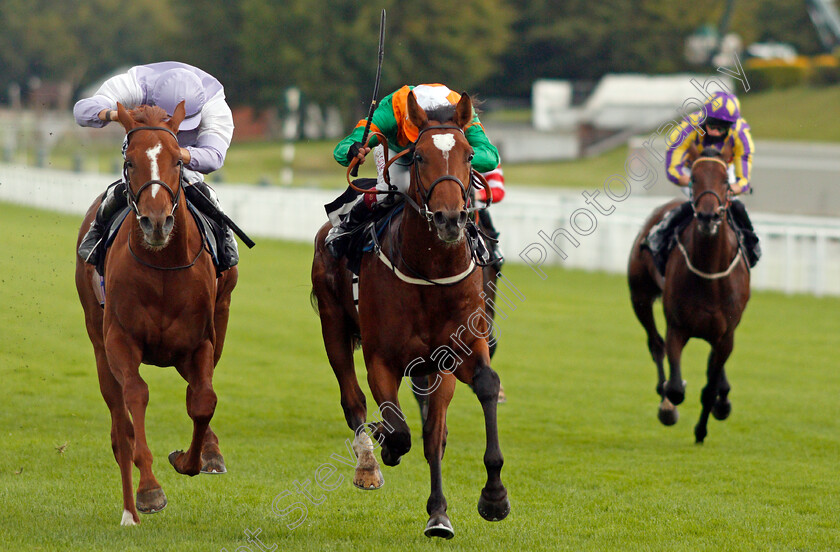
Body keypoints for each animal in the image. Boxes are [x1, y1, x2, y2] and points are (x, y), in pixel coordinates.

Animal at [75, 101, 236, 524]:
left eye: (177, 161)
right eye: (129, 162)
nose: (157, 221)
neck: (162, 267)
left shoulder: (199, 342)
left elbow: (203, 400)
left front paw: (191, 459)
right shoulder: (119, 340)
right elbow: (136, 397)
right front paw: (149, 490)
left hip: (220, 318)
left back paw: (210, 450)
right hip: (98, 342)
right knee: (120, 427)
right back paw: (129, 511)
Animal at [308, 91, 506, 540]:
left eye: (470, 154)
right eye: (418, 156)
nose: (450, 219)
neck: (429, 271)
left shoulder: (455, 353)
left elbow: (457, 414)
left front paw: (484, 500)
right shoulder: (381, 357)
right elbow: (398, 429)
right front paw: (386, 448)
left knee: (431, 429)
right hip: (333, 325)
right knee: (353, 399)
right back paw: (368, 463)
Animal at [628, 147, 752, 444]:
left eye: (726, 181)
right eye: (694, 178)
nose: (708, 217)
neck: (709, 273)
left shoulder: (726, 334)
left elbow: (710, 386)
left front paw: (702, 429)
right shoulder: (678, 326)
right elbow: (674, 387)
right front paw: (669, 406)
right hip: (639, 296)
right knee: (655, 344)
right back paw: (665, 403)